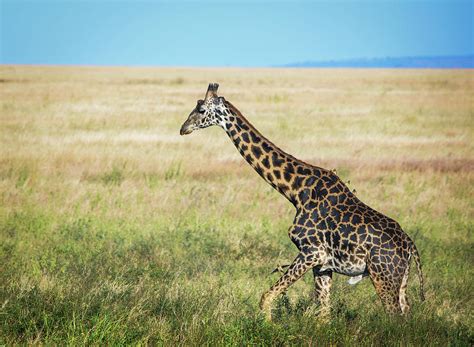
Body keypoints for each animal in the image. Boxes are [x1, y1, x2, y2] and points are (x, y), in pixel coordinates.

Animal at [180, 83, 424, 320]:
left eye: (201, 109)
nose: (183, 128)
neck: (296, 191)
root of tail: (410, 246)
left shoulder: (311, 252)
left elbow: (266, 297)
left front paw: (268, 326)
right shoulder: (323, 265)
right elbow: (323, 314)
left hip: (383, 276)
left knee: (394, 317)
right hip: (401, 280)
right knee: (407, 312)